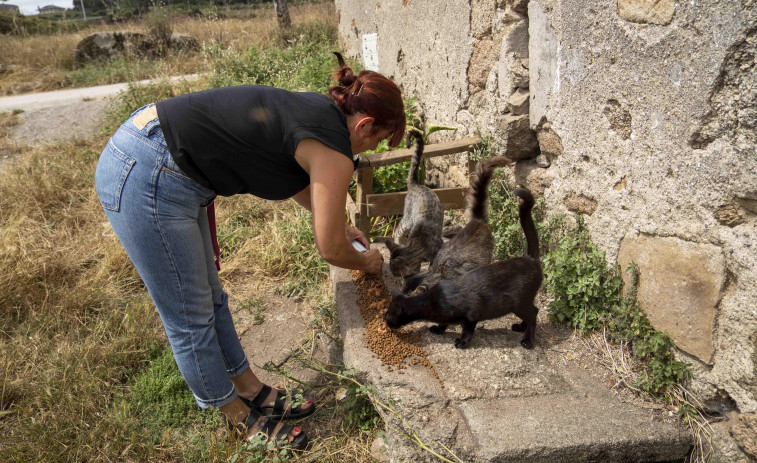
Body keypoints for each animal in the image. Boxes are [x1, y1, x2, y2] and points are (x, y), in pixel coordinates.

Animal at [386, 187, 540, 350]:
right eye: (402, 290)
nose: (386, 320)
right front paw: (439, 328)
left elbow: (467, 327)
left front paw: (462, 340)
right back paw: (521, 327)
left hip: (518, 301)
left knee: (533, 312)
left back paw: (527, 338)